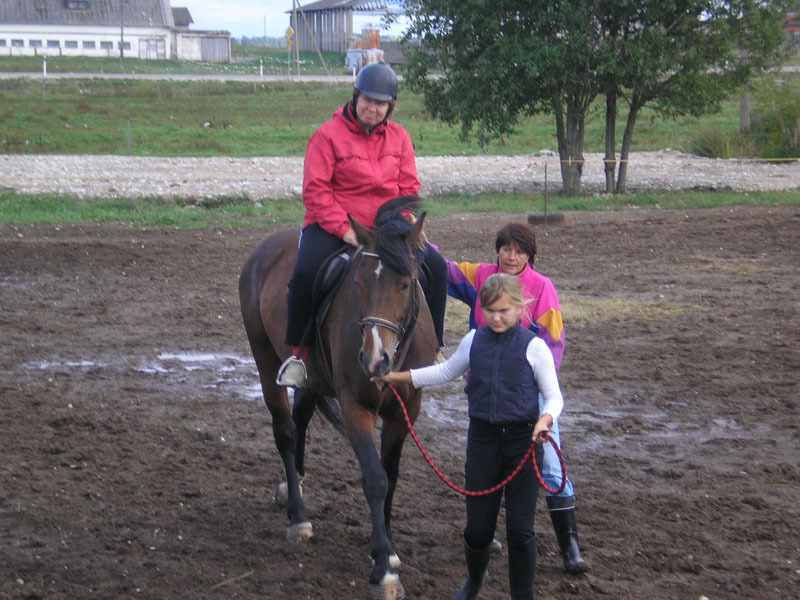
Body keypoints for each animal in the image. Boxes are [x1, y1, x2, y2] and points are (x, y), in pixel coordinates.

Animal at [238, 197, 437, 599]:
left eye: (405, 283)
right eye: (358, 284)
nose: (375, 359)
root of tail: (264, 250)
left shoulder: (406, 410)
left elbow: (391, 475)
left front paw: (389, 551)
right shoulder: (354, 406)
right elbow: (375, 478)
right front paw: (383, 569)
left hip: (313, 380)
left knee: (300, 420)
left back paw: (293, 486)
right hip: (265, 362)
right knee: (285, 431)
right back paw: (298, 517)